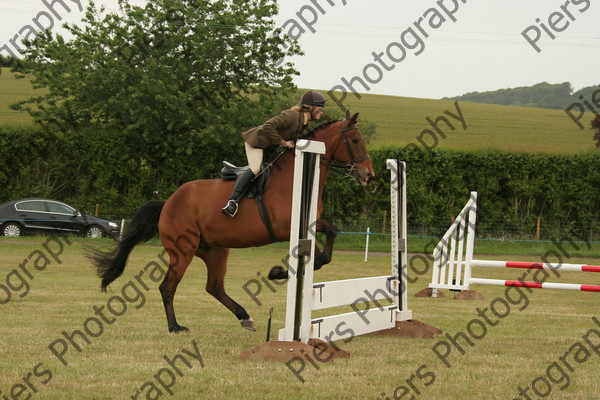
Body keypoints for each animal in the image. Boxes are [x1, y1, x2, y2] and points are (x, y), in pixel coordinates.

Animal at [88, 109, 376, 332]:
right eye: (354, 139)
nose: (368, 176)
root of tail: (168, 202)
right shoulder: (288, 228)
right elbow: (318, 256)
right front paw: (277, 272)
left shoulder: (309, 224)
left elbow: (330, 239)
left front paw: (277, 272)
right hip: (183, 250)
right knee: (167, 287)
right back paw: (175, 326)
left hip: (215, 250)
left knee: (214, 287)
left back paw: (245, 317)